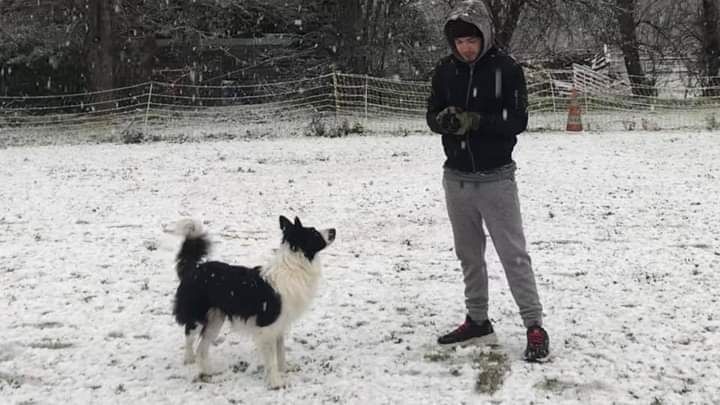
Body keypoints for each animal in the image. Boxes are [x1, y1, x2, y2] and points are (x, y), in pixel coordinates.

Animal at [171, 216, 335, 389]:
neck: (295, 266)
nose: (334, 230)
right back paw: (189, 359)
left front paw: (285, 369)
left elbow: (281, 351)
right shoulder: (268, 326)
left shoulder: (279, 325)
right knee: (189, 335)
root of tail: (194, 269)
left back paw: (209, 372)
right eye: (314, 233)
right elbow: (272, 359)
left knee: (202, 347)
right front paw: (276, 382)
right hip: (197, 317)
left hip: (215, 320)